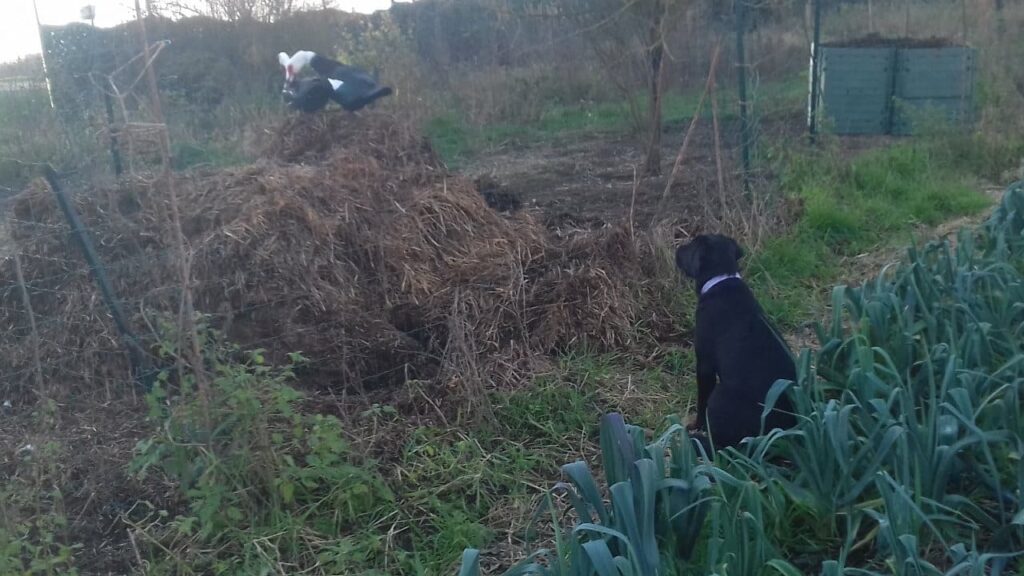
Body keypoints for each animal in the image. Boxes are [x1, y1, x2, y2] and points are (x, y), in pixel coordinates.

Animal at [675, 231, 794, 448]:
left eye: (692, 245)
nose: (678, 248)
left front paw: (695, 426)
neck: (722, 279)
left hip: (719, 395)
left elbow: (701, 400)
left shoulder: (704, 364)